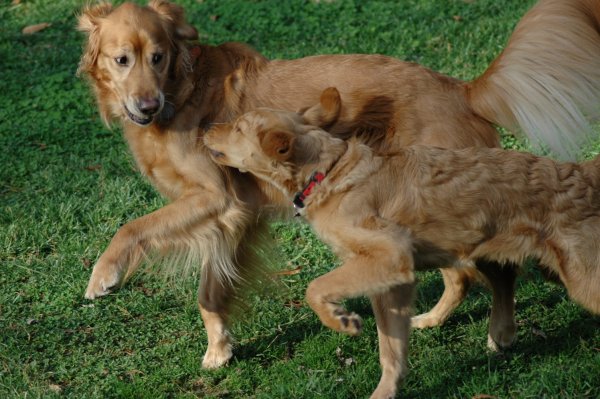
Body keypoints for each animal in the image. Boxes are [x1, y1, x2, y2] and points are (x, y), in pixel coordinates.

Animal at [203, 90, 600, 399]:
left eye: (238, 127)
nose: (206, 126)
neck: (330, 172)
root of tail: (583, 175)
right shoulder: (391, 281)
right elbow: (391, 348)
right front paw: (386, 389)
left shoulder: (391, 254)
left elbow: (315, 288)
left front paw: (342, 320)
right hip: (485, 251)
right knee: (498, 282)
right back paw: (496, 334)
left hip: (582, 280)